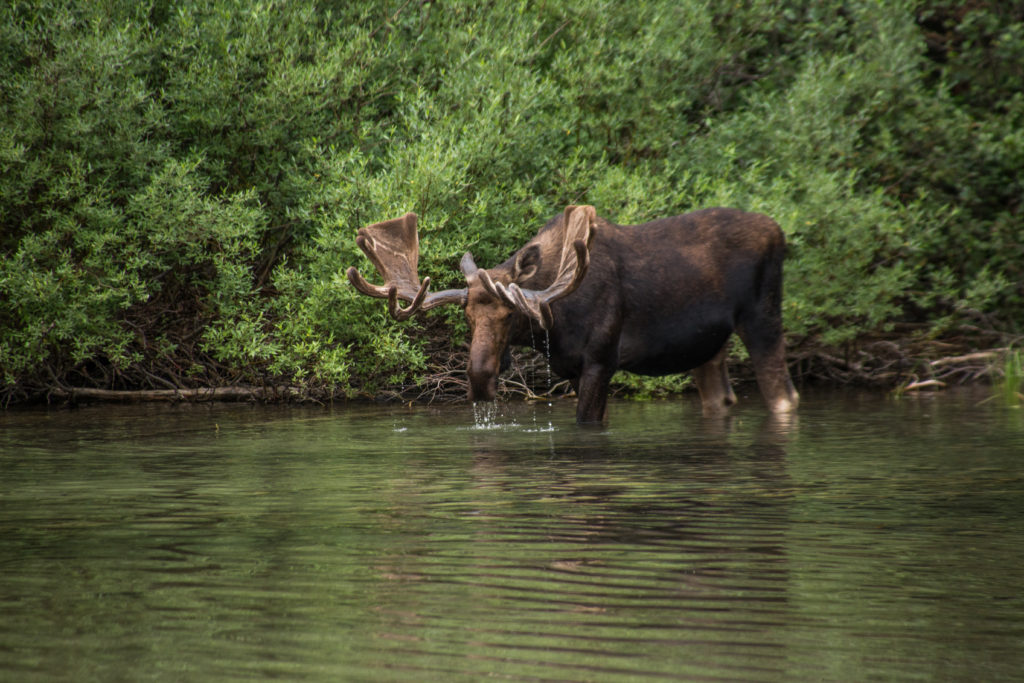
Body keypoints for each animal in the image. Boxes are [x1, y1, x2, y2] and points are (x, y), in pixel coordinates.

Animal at [347, 205, 799, 424]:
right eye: (467, 317)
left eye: (511, 315)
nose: (478, 379)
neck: (560, 322)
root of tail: (780, 231)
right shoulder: (571, 369)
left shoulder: (602, 359)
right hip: (707, 347)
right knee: (721, 398)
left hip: (762, 317)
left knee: (784, 396)